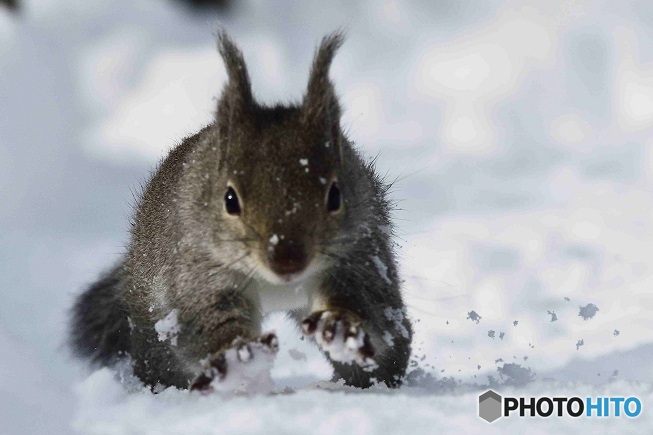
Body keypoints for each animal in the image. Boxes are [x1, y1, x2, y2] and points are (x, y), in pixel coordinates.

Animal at [69, 31, 410, 392]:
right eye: (230, 199)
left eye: (335, 196)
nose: (287, 259)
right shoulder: (198, 272)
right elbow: (209, 319)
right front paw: (239, 355)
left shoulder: (360, 254)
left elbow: (368, 303)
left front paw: (342, 325)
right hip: (154, 328)